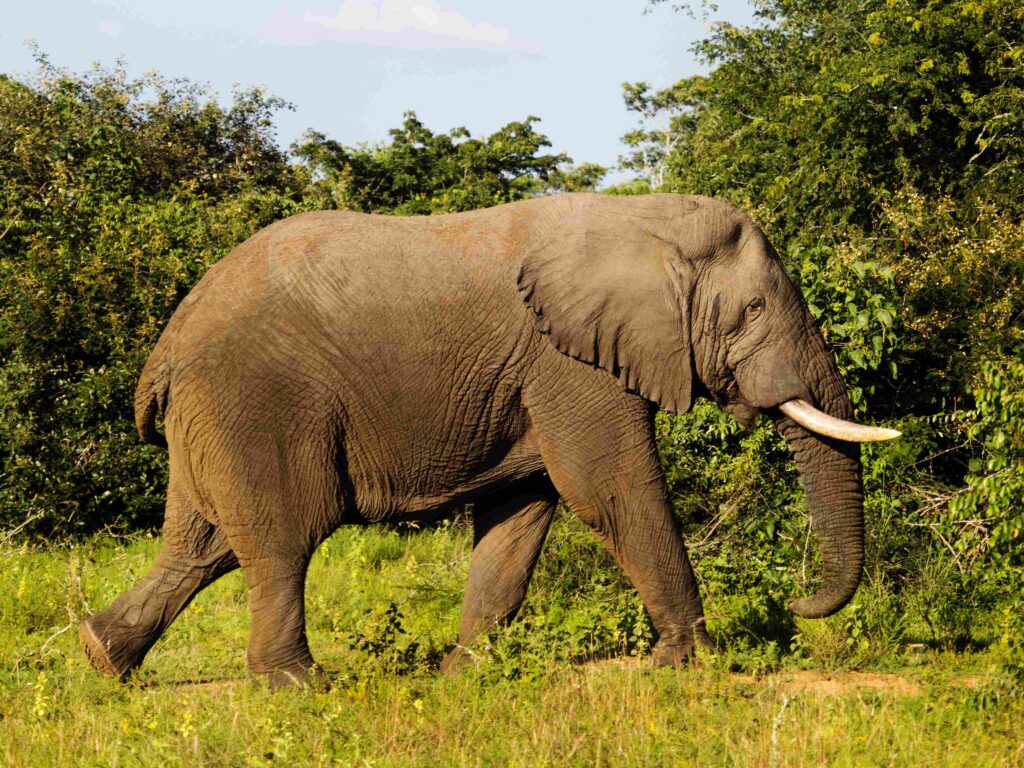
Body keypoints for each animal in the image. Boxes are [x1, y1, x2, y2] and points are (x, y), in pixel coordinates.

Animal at [78, 192, 899, 688]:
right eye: (753, 309)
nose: (796, 605)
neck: (645, 215)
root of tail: (167, 347)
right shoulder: (568, 361)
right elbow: (610, 489)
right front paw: (688, 665)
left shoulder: (535, 376)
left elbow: (520, 516)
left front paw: (466, 674)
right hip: (256, 405)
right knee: (281, 540)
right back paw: (299, 686)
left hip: (210, 417)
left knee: (199, 547)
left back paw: (101, 658)